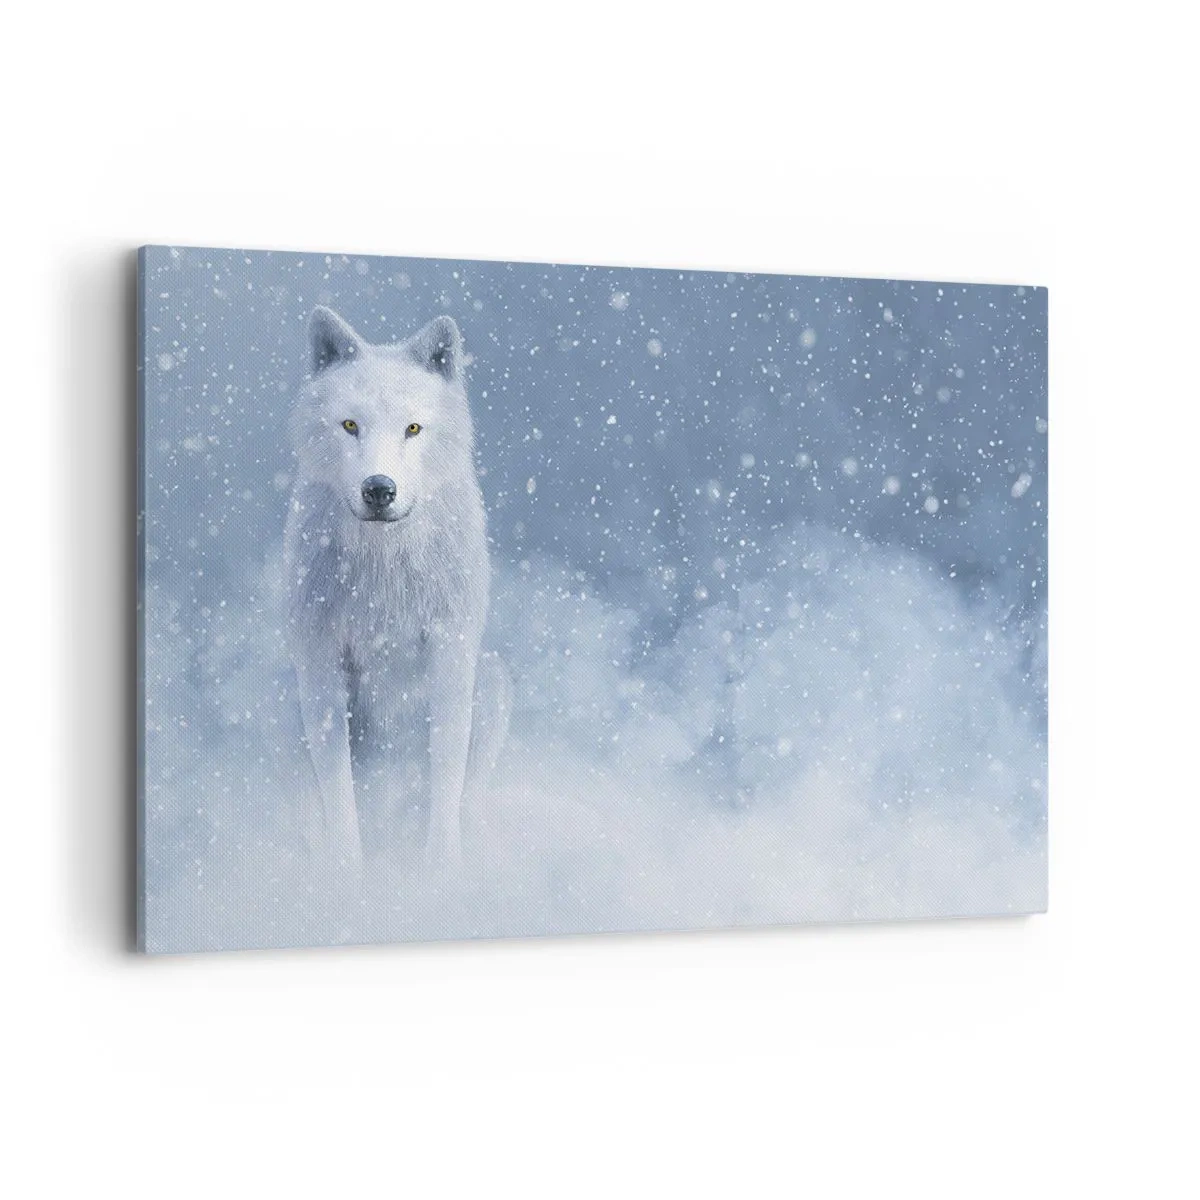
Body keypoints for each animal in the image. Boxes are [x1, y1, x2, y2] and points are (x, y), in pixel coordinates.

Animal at [284, 306, 509, 872]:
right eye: (350, 425)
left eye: (412, 428)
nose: (378, 489)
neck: (383, 568)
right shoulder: (320, 659)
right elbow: (338, 789)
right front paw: (347, 874)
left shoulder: (450, 651)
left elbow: (446, 774)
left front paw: (441, 870)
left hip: (492, 678)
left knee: (467, 793)